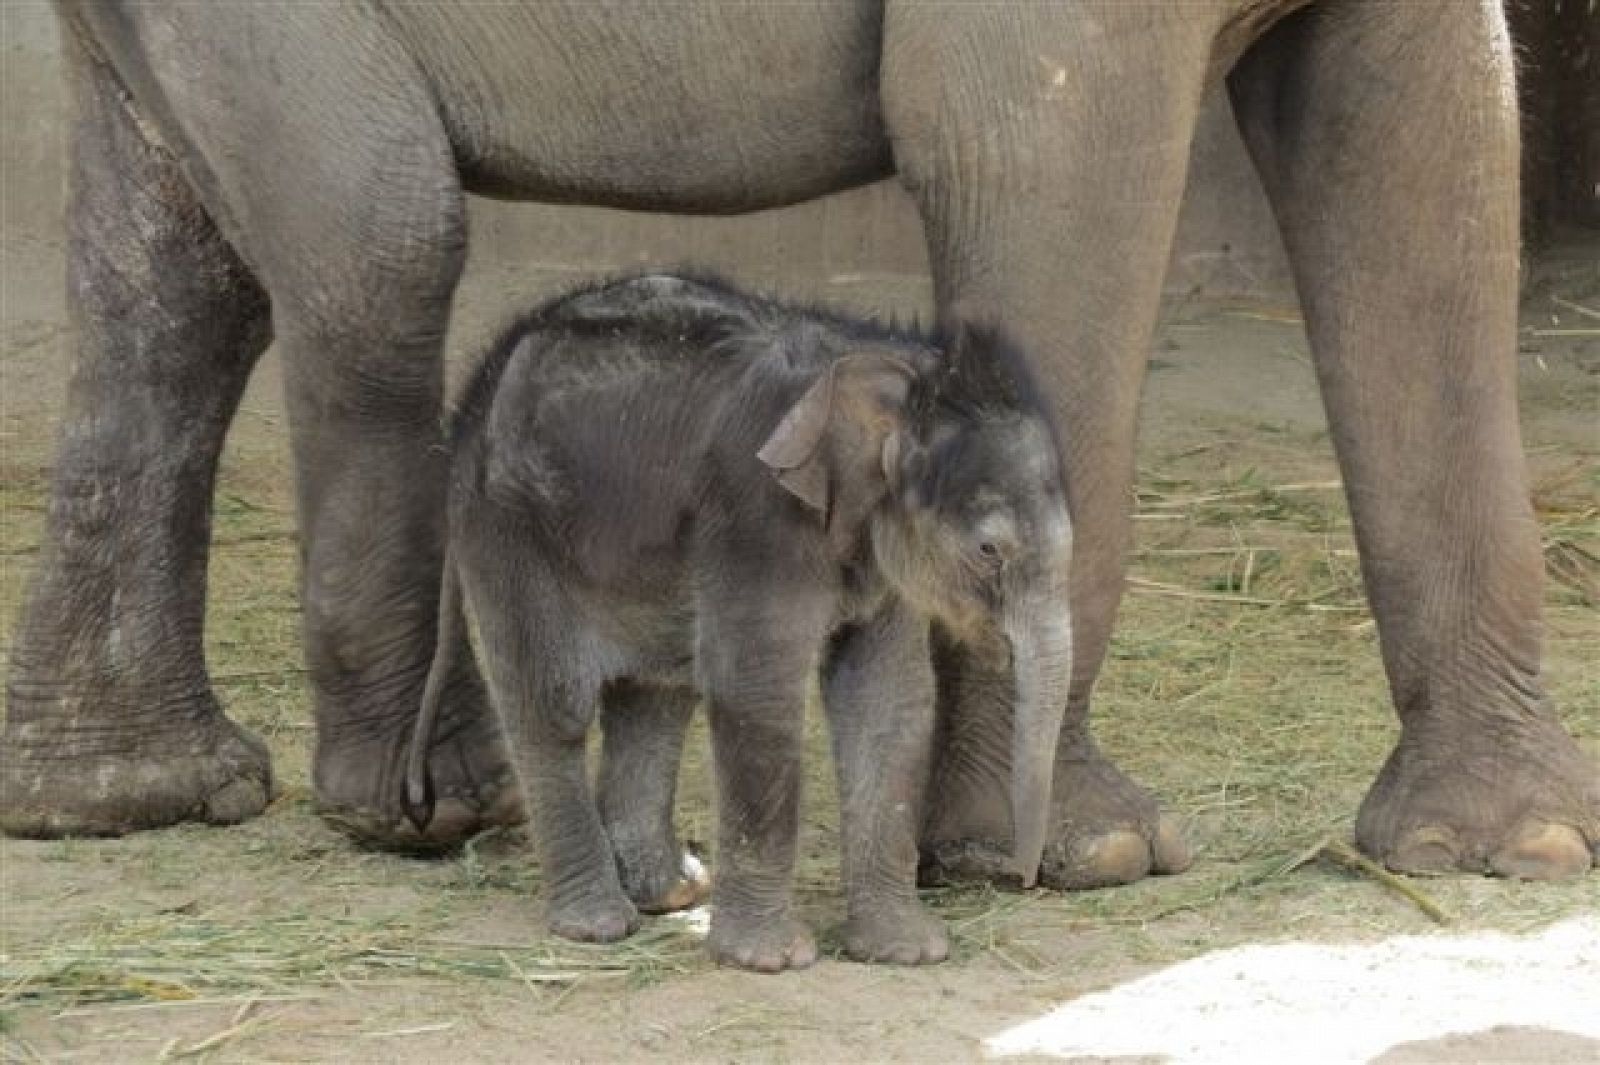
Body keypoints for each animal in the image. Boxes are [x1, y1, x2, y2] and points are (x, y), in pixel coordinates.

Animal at [6, 2, 1593, 876]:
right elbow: (1027, 144)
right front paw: (1065, 858)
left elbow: (1431, 142)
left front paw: (1515, 848)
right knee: (379, 238)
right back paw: (437, 804)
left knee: (172, 283)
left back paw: (127, 797)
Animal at [406, 273, 1068, 972]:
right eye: (989, 549)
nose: (1024, 877)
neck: (889, 367)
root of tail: (470, 403)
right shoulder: (755, 519)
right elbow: (756, 694)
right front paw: (771, 962)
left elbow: (886, 701)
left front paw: (907, 952)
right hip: (509, 529)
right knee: (554, 705)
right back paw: (598, 924)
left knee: (656, 695)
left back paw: (671, 893)